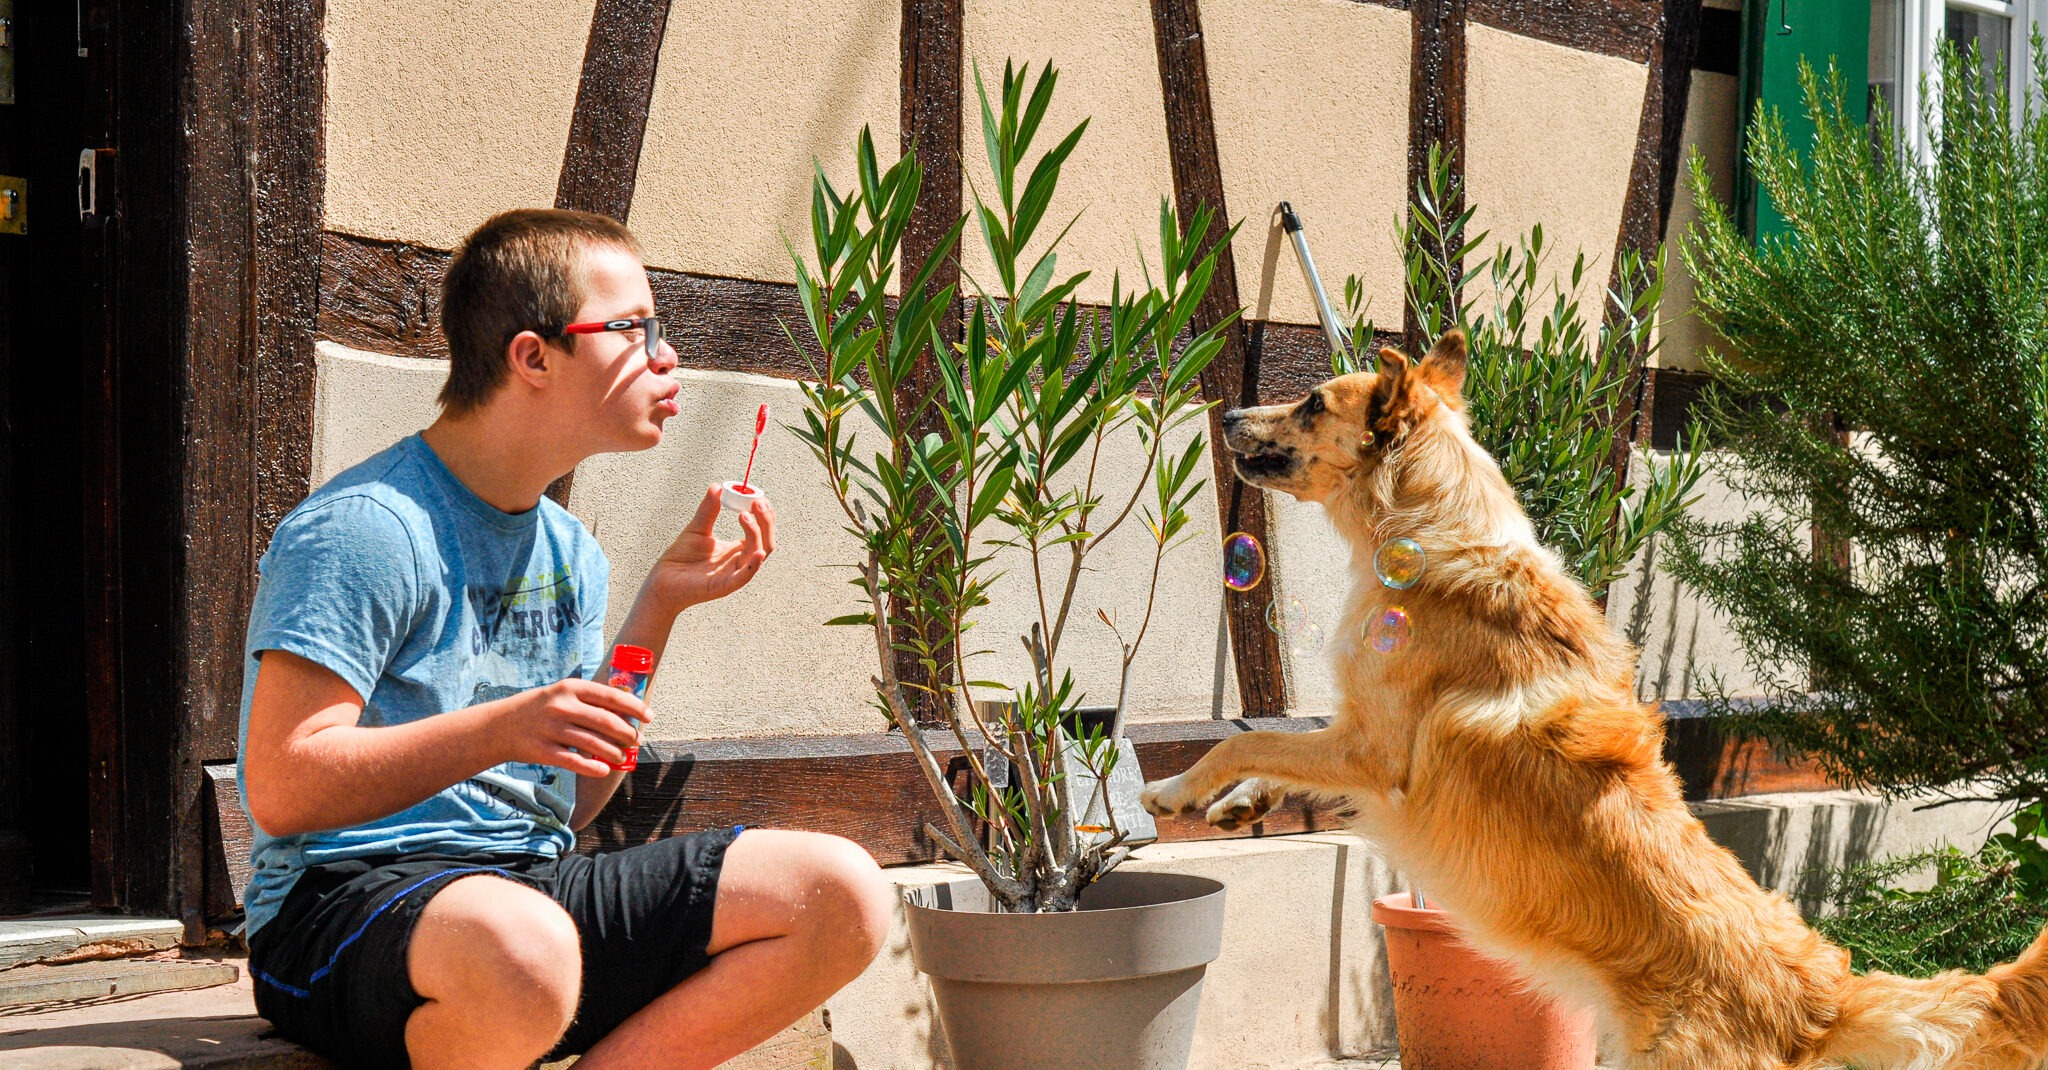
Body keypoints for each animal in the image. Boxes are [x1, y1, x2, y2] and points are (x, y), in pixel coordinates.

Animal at [1138, 325, 2048, 1065]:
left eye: (1311, 402)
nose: (1227, 415)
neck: (1436, 533)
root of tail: (1818, 997)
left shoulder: (1374, 748)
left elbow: (1247, 736)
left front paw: (1173, 789)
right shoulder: (1352, 736)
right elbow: (1273, 749)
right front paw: (1240, 805)